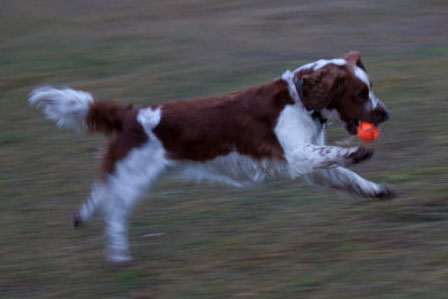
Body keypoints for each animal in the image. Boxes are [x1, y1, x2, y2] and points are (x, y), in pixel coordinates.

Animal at [30, 52, 396, 264]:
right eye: (361, 93)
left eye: (369, 88)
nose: (386, 114)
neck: (300, 99)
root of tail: (130, 114)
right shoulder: (298, 155)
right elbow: (338, 154)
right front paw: (359, 151)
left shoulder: (311, 165)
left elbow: (347, 176)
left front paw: (378, 190)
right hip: (135, 175)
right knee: (115, 211)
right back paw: (119, 255)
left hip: (130, 171)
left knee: (102, 191)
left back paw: (82, 217)